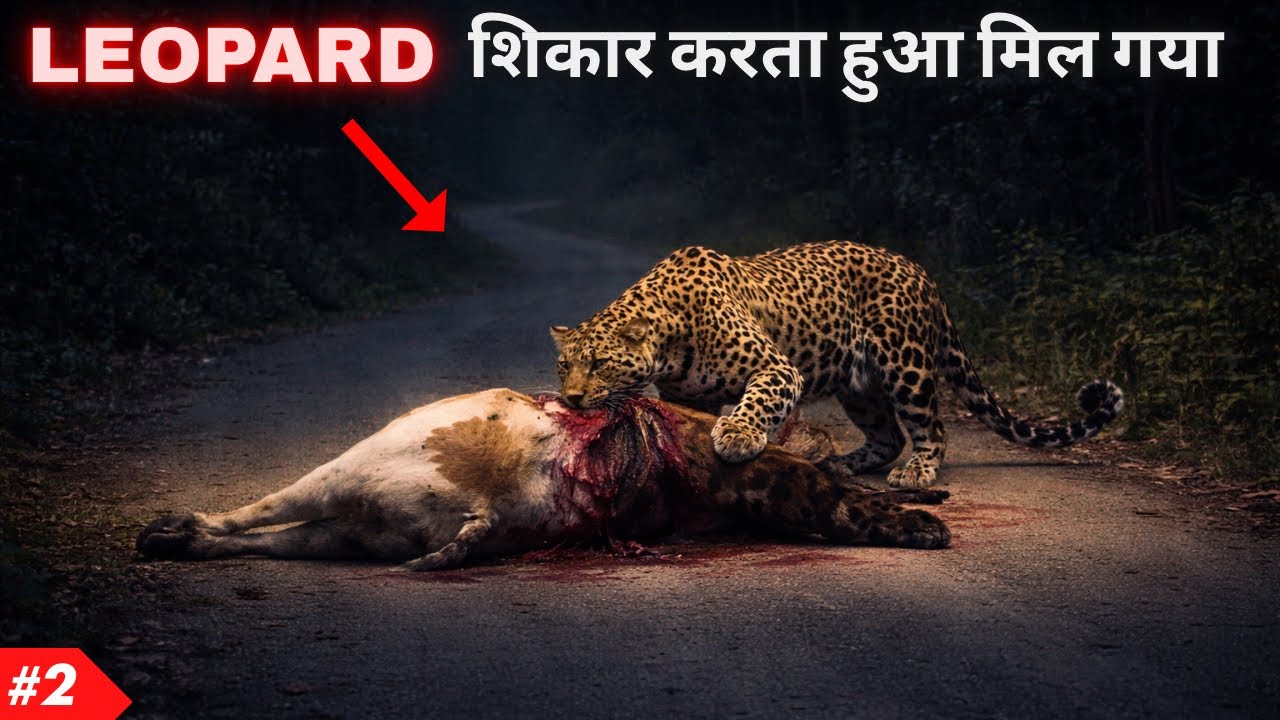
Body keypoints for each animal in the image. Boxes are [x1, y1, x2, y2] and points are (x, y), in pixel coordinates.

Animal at [550, 241, 1124, 488]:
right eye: (563, 367)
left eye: (599, 364)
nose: (572, 398)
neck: (671, 340)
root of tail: (924, 273)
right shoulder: (686, 396)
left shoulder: (777, 369)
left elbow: (757, 402)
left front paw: (737, 436)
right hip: (859, 387)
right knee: (887, 435)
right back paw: (842, 463)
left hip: (905, 365)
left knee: (931, 428)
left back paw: (917, 472)